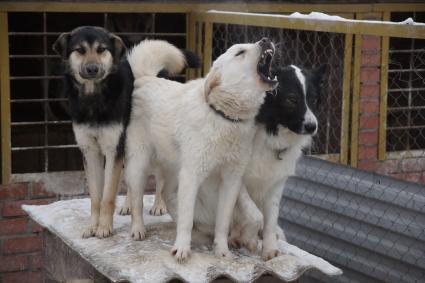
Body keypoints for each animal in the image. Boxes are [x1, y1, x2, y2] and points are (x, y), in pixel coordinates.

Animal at [52, 26, 198, 240]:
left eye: (102, 49)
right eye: (79, 50)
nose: (92, 69)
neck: (94, 98)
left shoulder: (113, 149)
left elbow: (108, 195)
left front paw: (104, 228)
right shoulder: (90, 151)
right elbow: (96, 197)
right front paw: (93, 226)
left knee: (160, 178)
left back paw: (159, 204)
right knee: (131, 180)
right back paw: (128, 205)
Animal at [125, 38, 278, 262]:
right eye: (240, 52)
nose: (265, 40)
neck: (224, 118)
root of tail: (146, 79)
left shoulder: (231, 181)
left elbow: (224, 222)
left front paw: (222, 250)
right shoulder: (192, 176)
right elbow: (187, 218)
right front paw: (181, 248)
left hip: (172, 170)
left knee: (165, 193)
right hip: (139, 166)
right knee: (136, 201)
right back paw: (137, 229)